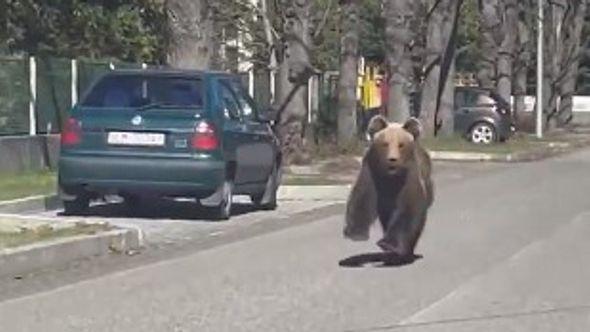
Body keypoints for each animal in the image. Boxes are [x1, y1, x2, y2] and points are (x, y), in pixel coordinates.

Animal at [342, 115, 434, 264]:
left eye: (401, 144)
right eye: (385, 143)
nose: (392, 159)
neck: (390, 178)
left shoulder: (410, 176)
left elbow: (409, 209)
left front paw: (390, 245)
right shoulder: (371, 171)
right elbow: (362, 198)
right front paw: (355, 233)